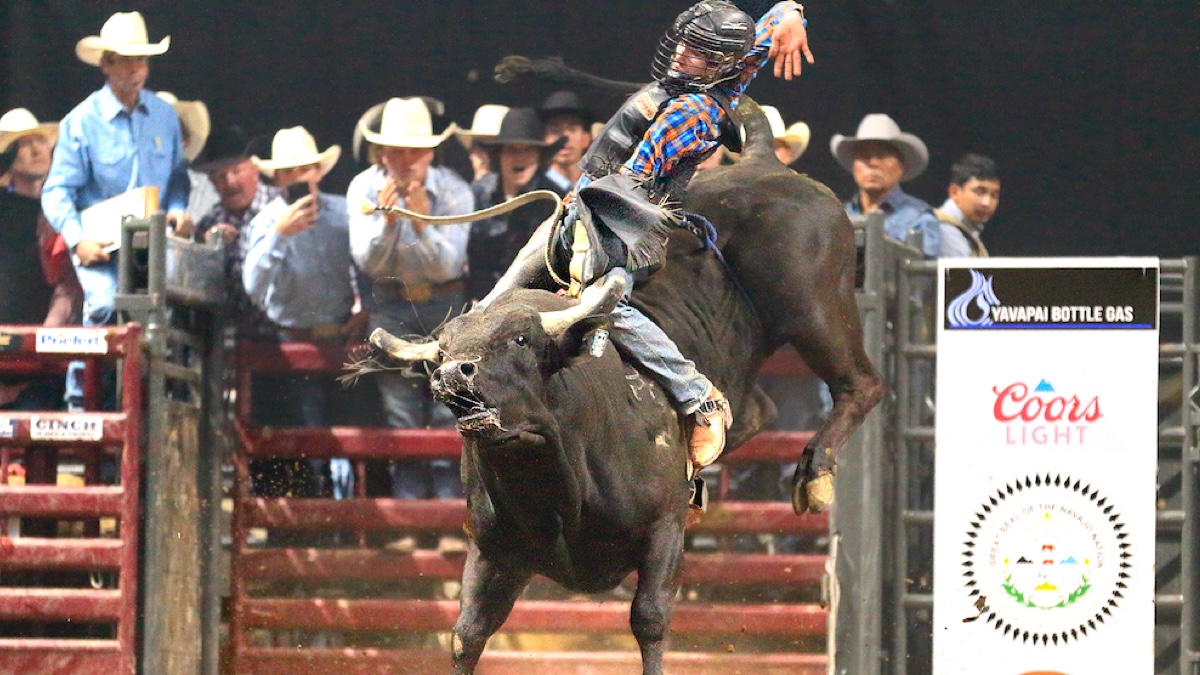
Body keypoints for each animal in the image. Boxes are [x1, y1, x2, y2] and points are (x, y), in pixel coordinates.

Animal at [355, 97, 883, 667]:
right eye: (443, 351)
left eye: (521, 339)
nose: (455, 373)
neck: (553, 469)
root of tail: (763, 162)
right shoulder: (494, 550)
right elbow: (468, 631)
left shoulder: (665, 528)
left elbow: (649, 620)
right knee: (759, 407)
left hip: (814, 307)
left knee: (861, 384)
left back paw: (815, 472)